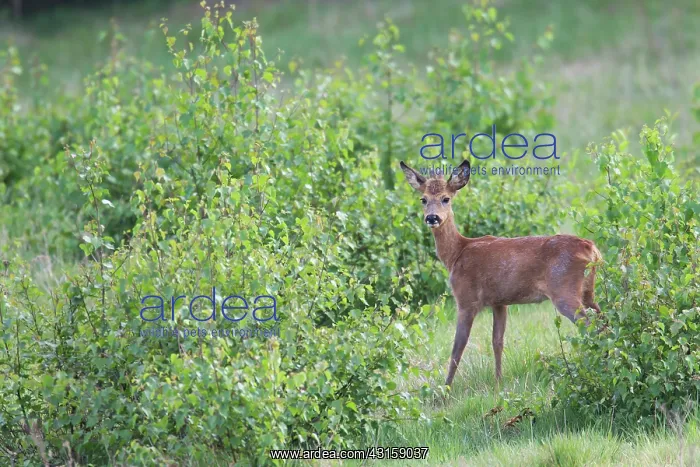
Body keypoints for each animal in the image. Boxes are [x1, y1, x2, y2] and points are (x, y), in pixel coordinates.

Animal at [399, 159, 602, 387]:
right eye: (423, 199)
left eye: (446, 198)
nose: (432, 218)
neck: (456, 254)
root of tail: (592, 249)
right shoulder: (500, 302)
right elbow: (497, 341)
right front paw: (498, 382)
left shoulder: (466, 299)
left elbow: (457, 348)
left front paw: (446, 388)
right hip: (588, 292)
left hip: (564, 291)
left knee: (591, 325)